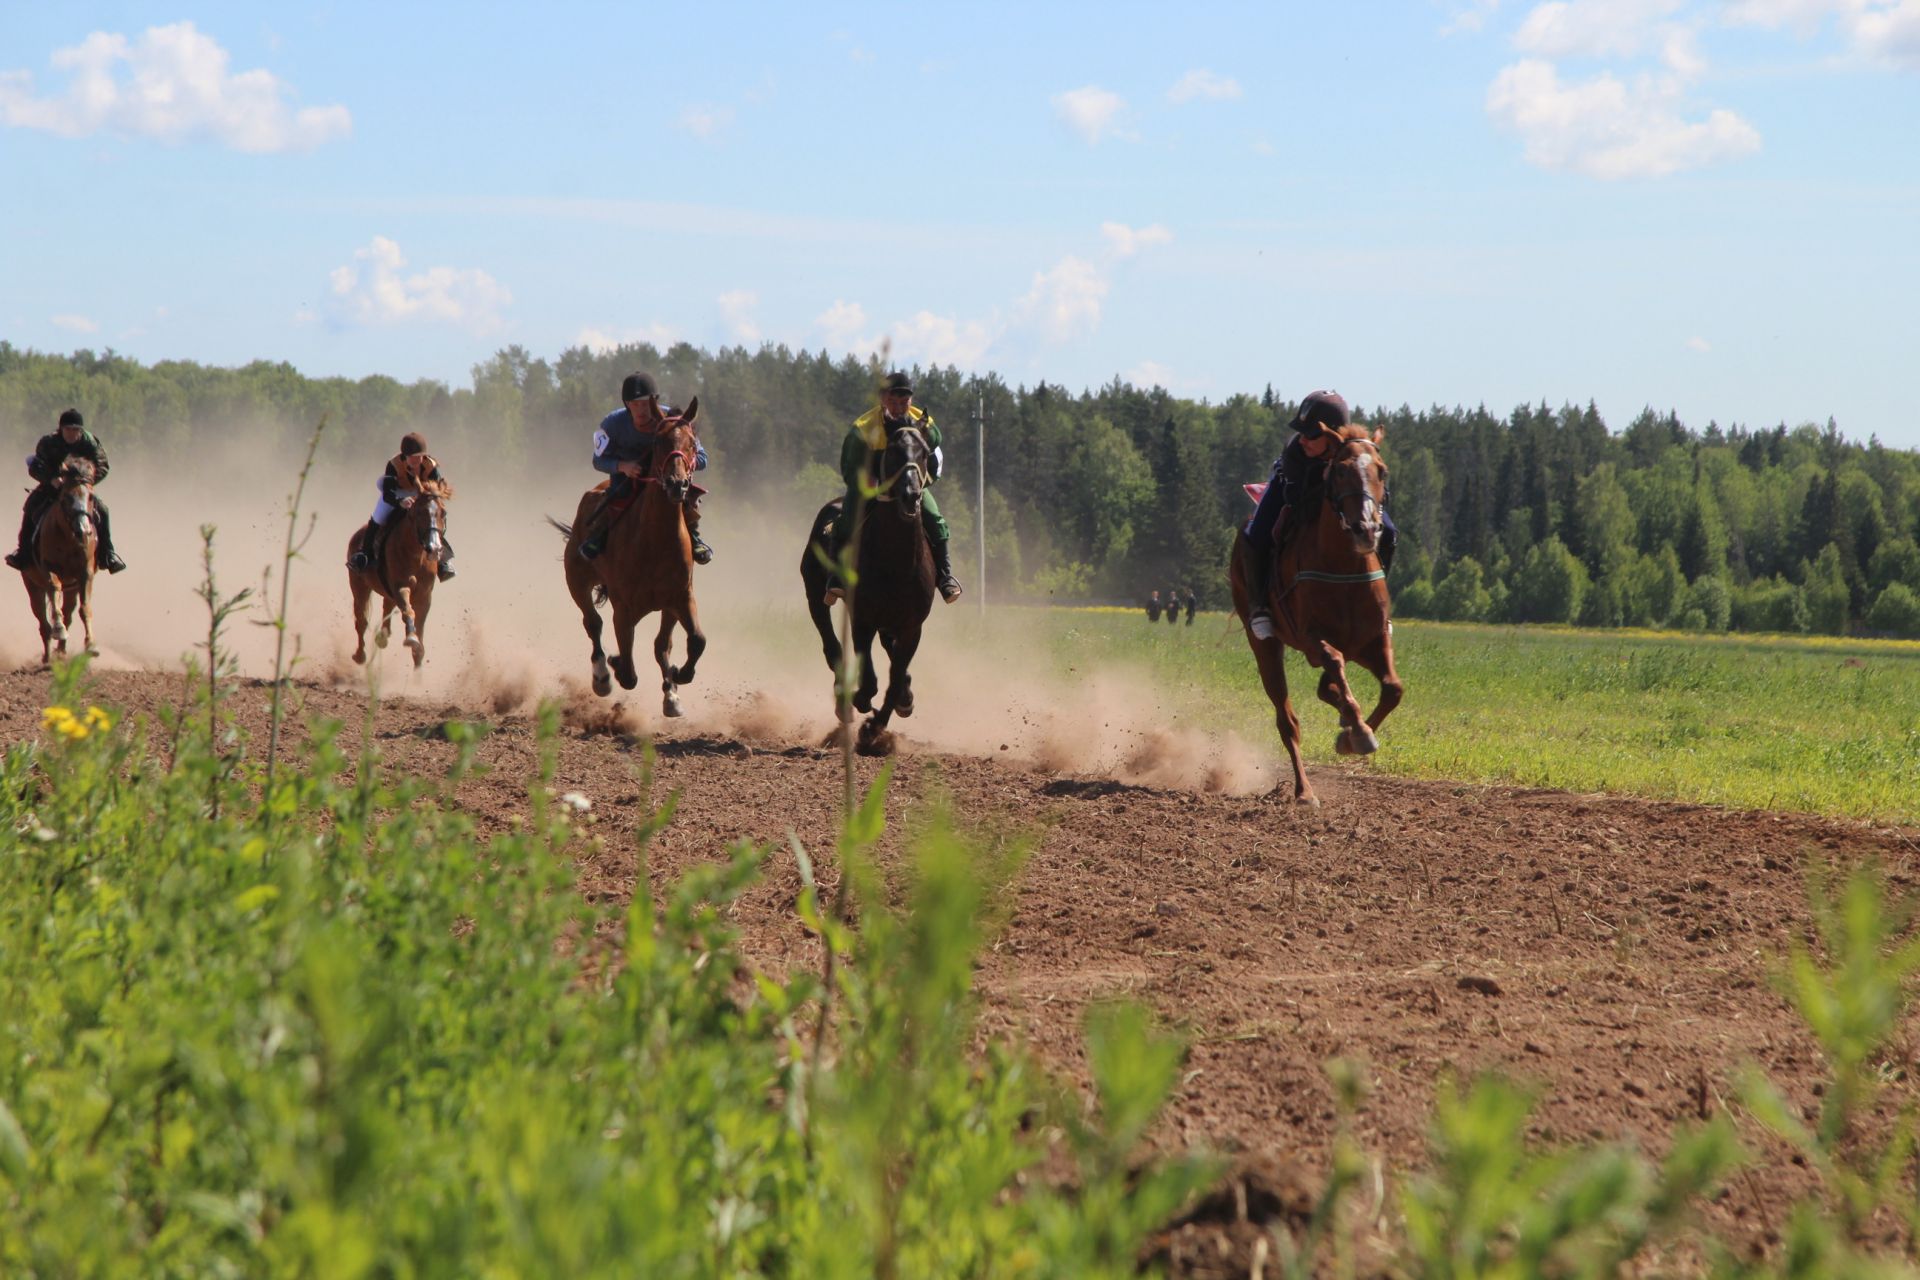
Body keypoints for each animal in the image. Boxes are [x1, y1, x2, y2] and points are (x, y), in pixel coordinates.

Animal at [17, 454, 99, 667]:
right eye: (67, 497)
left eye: (90, 497)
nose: (83, 530)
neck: (69, 537)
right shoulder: (49, 569)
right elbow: (54, 589)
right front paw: (59, 629)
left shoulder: (85, 573)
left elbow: (85, 609)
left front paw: (91, 645)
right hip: (32, 585)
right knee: (43, 621)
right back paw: (47, 657)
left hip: (71, 589)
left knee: (68, 613)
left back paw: (61, 652)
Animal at [345, 474, 449, 671]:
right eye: (420, 512)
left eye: (443, 513)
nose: (434, 548)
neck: (416, 555)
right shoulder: (401, 587)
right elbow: (408, 611)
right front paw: (411, 639)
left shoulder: (425, 595)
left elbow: (419, 625)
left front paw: (418, 655)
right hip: (358, 584)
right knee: (361, 620)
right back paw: (360, 655)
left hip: (386, 590)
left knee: (386, 606)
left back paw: (382, 637)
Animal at [552, 402, 710, 721]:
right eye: (658, 442)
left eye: (692, 442)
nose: (677, 485)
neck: (656, 541)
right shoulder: (623, 609)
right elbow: (628, 672)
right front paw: (614, 664)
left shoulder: (679, 599)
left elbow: (687, 642)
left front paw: (676, 684)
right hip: (576, 580)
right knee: (592, 623)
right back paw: (601, 676)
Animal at [802, 422, 936, 759]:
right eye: (893, 452)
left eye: (925, 452)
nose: (910, 495)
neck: (895, 562)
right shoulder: (862, 618)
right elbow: (871, 680)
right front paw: (862, 705)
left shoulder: (912, 626)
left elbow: (895, 676)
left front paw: (876, 729)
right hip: (815, 596)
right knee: (832, 645)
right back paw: (843, 700)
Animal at [1228, 429, 1413, 809]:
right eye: (1340, 470)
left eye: (1382, 470)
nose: (1365, 528)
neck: (1344, 566)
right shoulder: (1312, 638)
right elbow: (1333, 659)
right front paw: (1358, 731)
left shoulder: (1373, 639)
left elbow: (1393, 688)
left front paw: (1352, 735)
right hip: (1265, 645)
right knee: (1287, 720)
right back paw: (1304, 791)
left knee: (1328, 688)